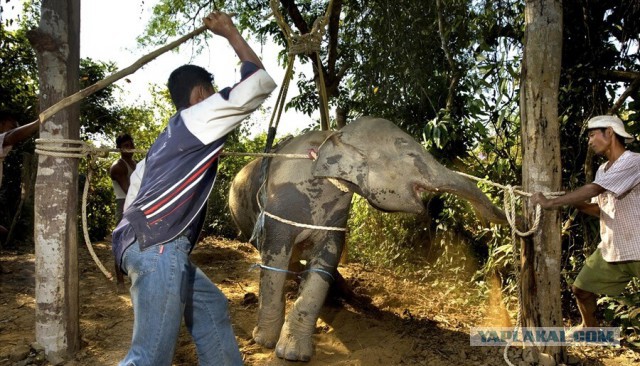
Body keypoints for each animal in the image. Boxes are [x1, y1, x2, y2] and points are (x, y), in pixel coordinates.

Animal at [230, 116, 504, 360]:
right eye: (409, 154)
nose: (498, 219)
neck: (333, 135)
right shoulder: (279, 206)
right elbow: (274, 260)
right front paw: (264, 342)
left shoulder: (337, 217)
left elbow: (325, 262)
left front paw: (294, 353)